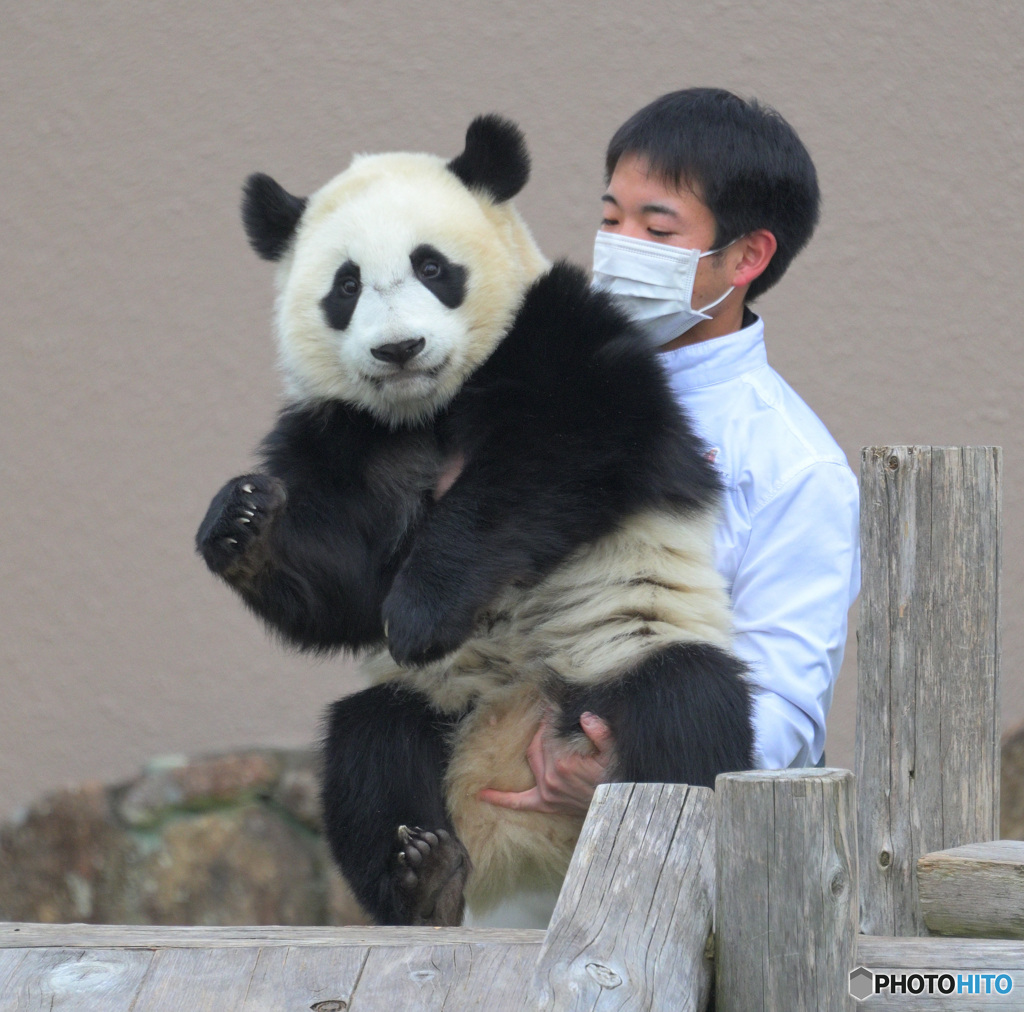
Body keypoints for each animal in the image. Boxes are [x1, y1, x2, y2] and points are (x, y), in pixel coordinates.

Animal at [195, 114, 757, 930]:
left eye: (433, 267)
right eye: (346, 285)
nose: (400, 348)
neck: (428, 409)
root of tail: (527, 845)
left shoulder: (566, 339)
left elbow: (547, 463)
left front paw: (421, 611)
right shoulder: (340, 432)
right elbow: (343, 590)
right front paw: (243, 526)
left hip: (621, 652)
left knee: (685, 716)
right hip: (434, 705)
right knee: (370, 743)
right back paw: (424, 879)